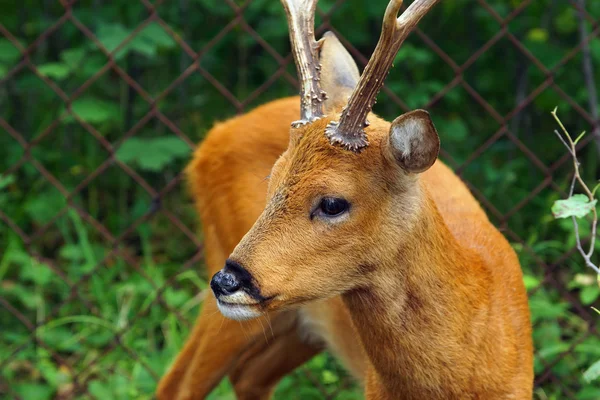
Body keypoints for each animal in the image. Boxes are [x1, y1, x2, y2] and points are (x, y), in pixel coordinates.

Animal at [156, 0, 536, 400]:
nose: (227, 281)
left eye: (333, 203)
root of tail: (210, 139)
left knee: (248, 376)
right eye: (272, 181)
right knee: (178, 385)